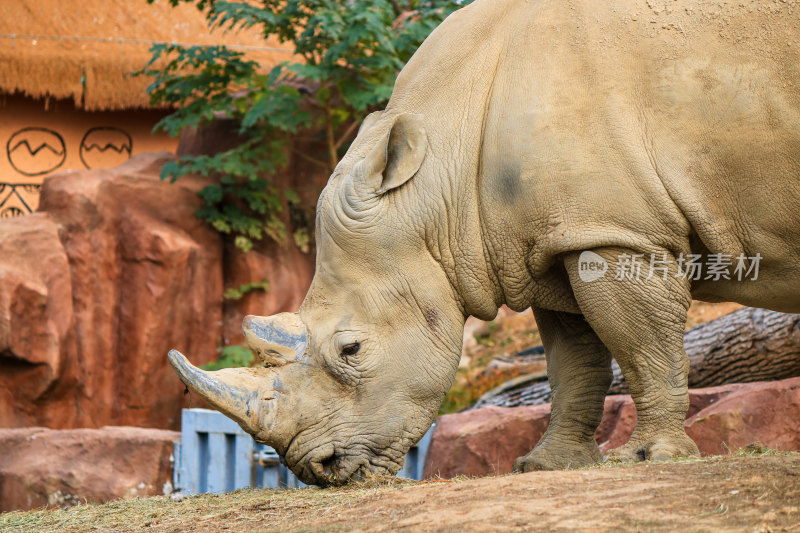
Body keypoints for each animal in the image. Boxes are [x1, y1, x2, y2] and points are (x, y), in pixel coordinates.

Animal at [167, 0, 800, 484]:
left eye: (351, 350)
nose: (318, 469)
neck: (437, 178)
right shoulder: (556, 242)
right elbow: (574, 364)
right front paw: (545, 467)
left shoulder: (616, 234)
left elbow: (646, 349)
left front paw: (650, 459)